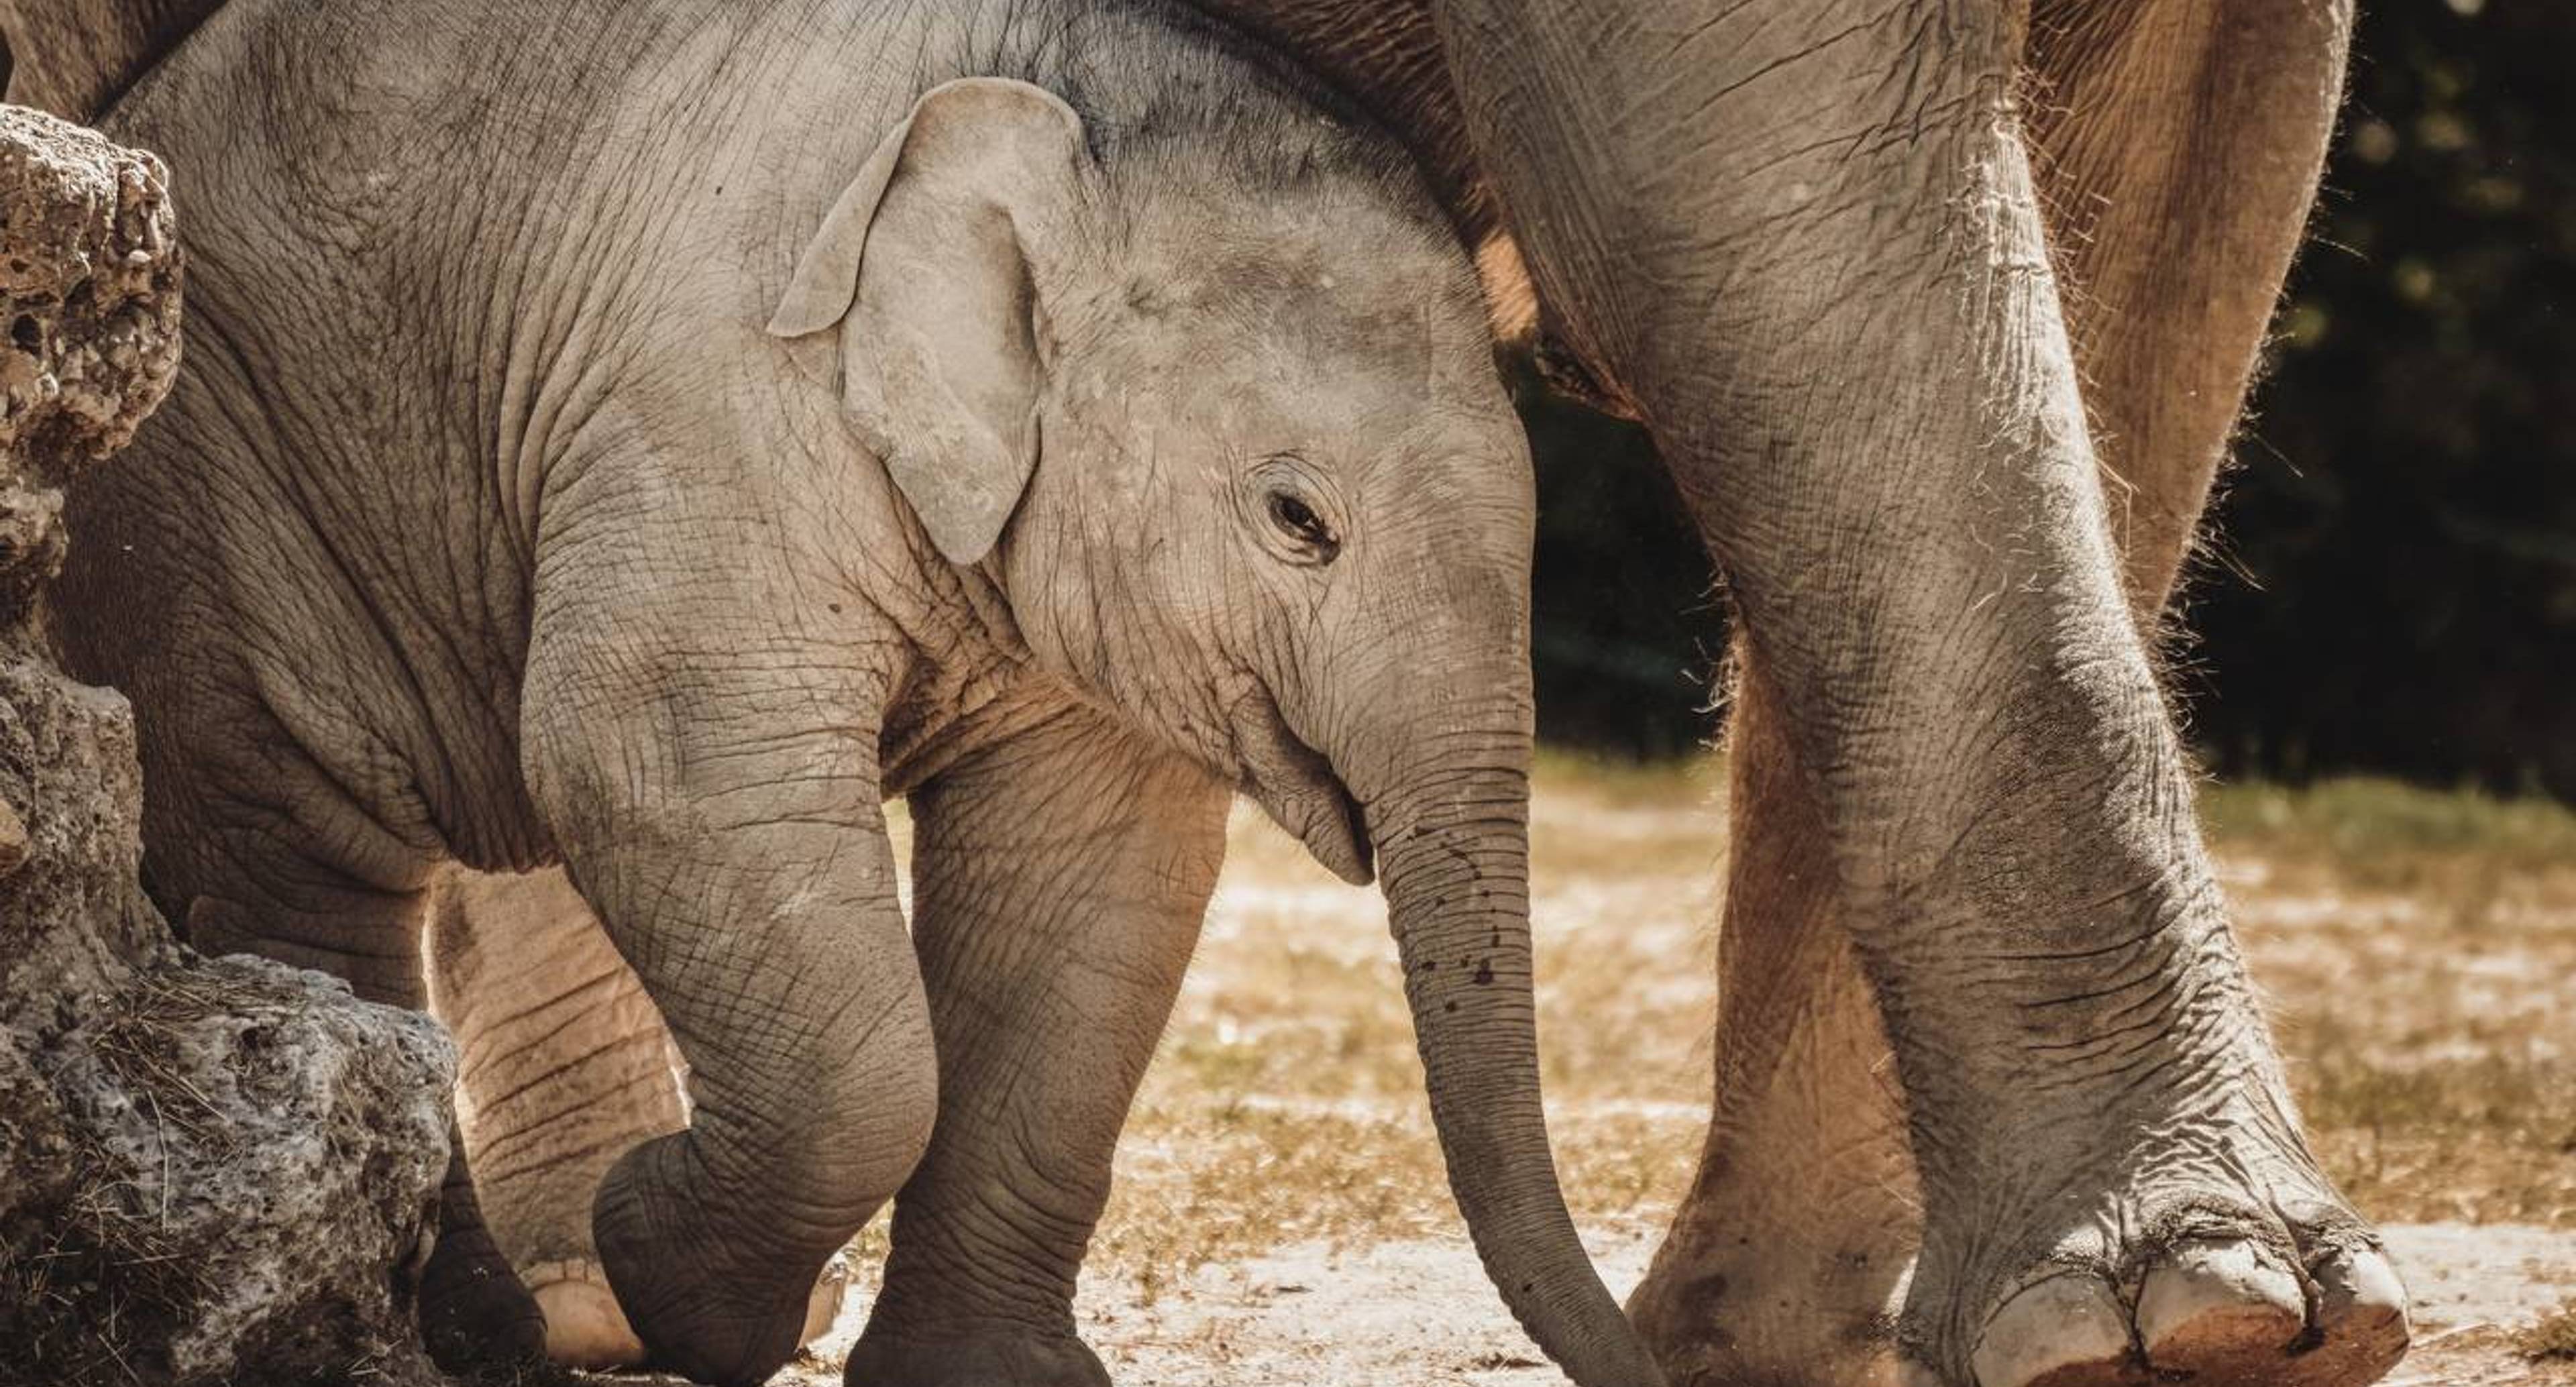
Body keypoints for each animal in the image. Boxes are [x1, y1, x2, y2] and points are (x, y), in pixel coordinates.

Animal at [65, 3, 1648, 1387]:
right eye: (1297, 520)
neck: (1076, 137)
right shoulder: (710, 408)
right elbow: (653, 761)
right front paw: (673, 1274)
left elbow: (1088, 874)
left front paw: (979, 1373)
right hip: (213, 471)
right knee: (300, 865)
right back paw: (458, 1334)